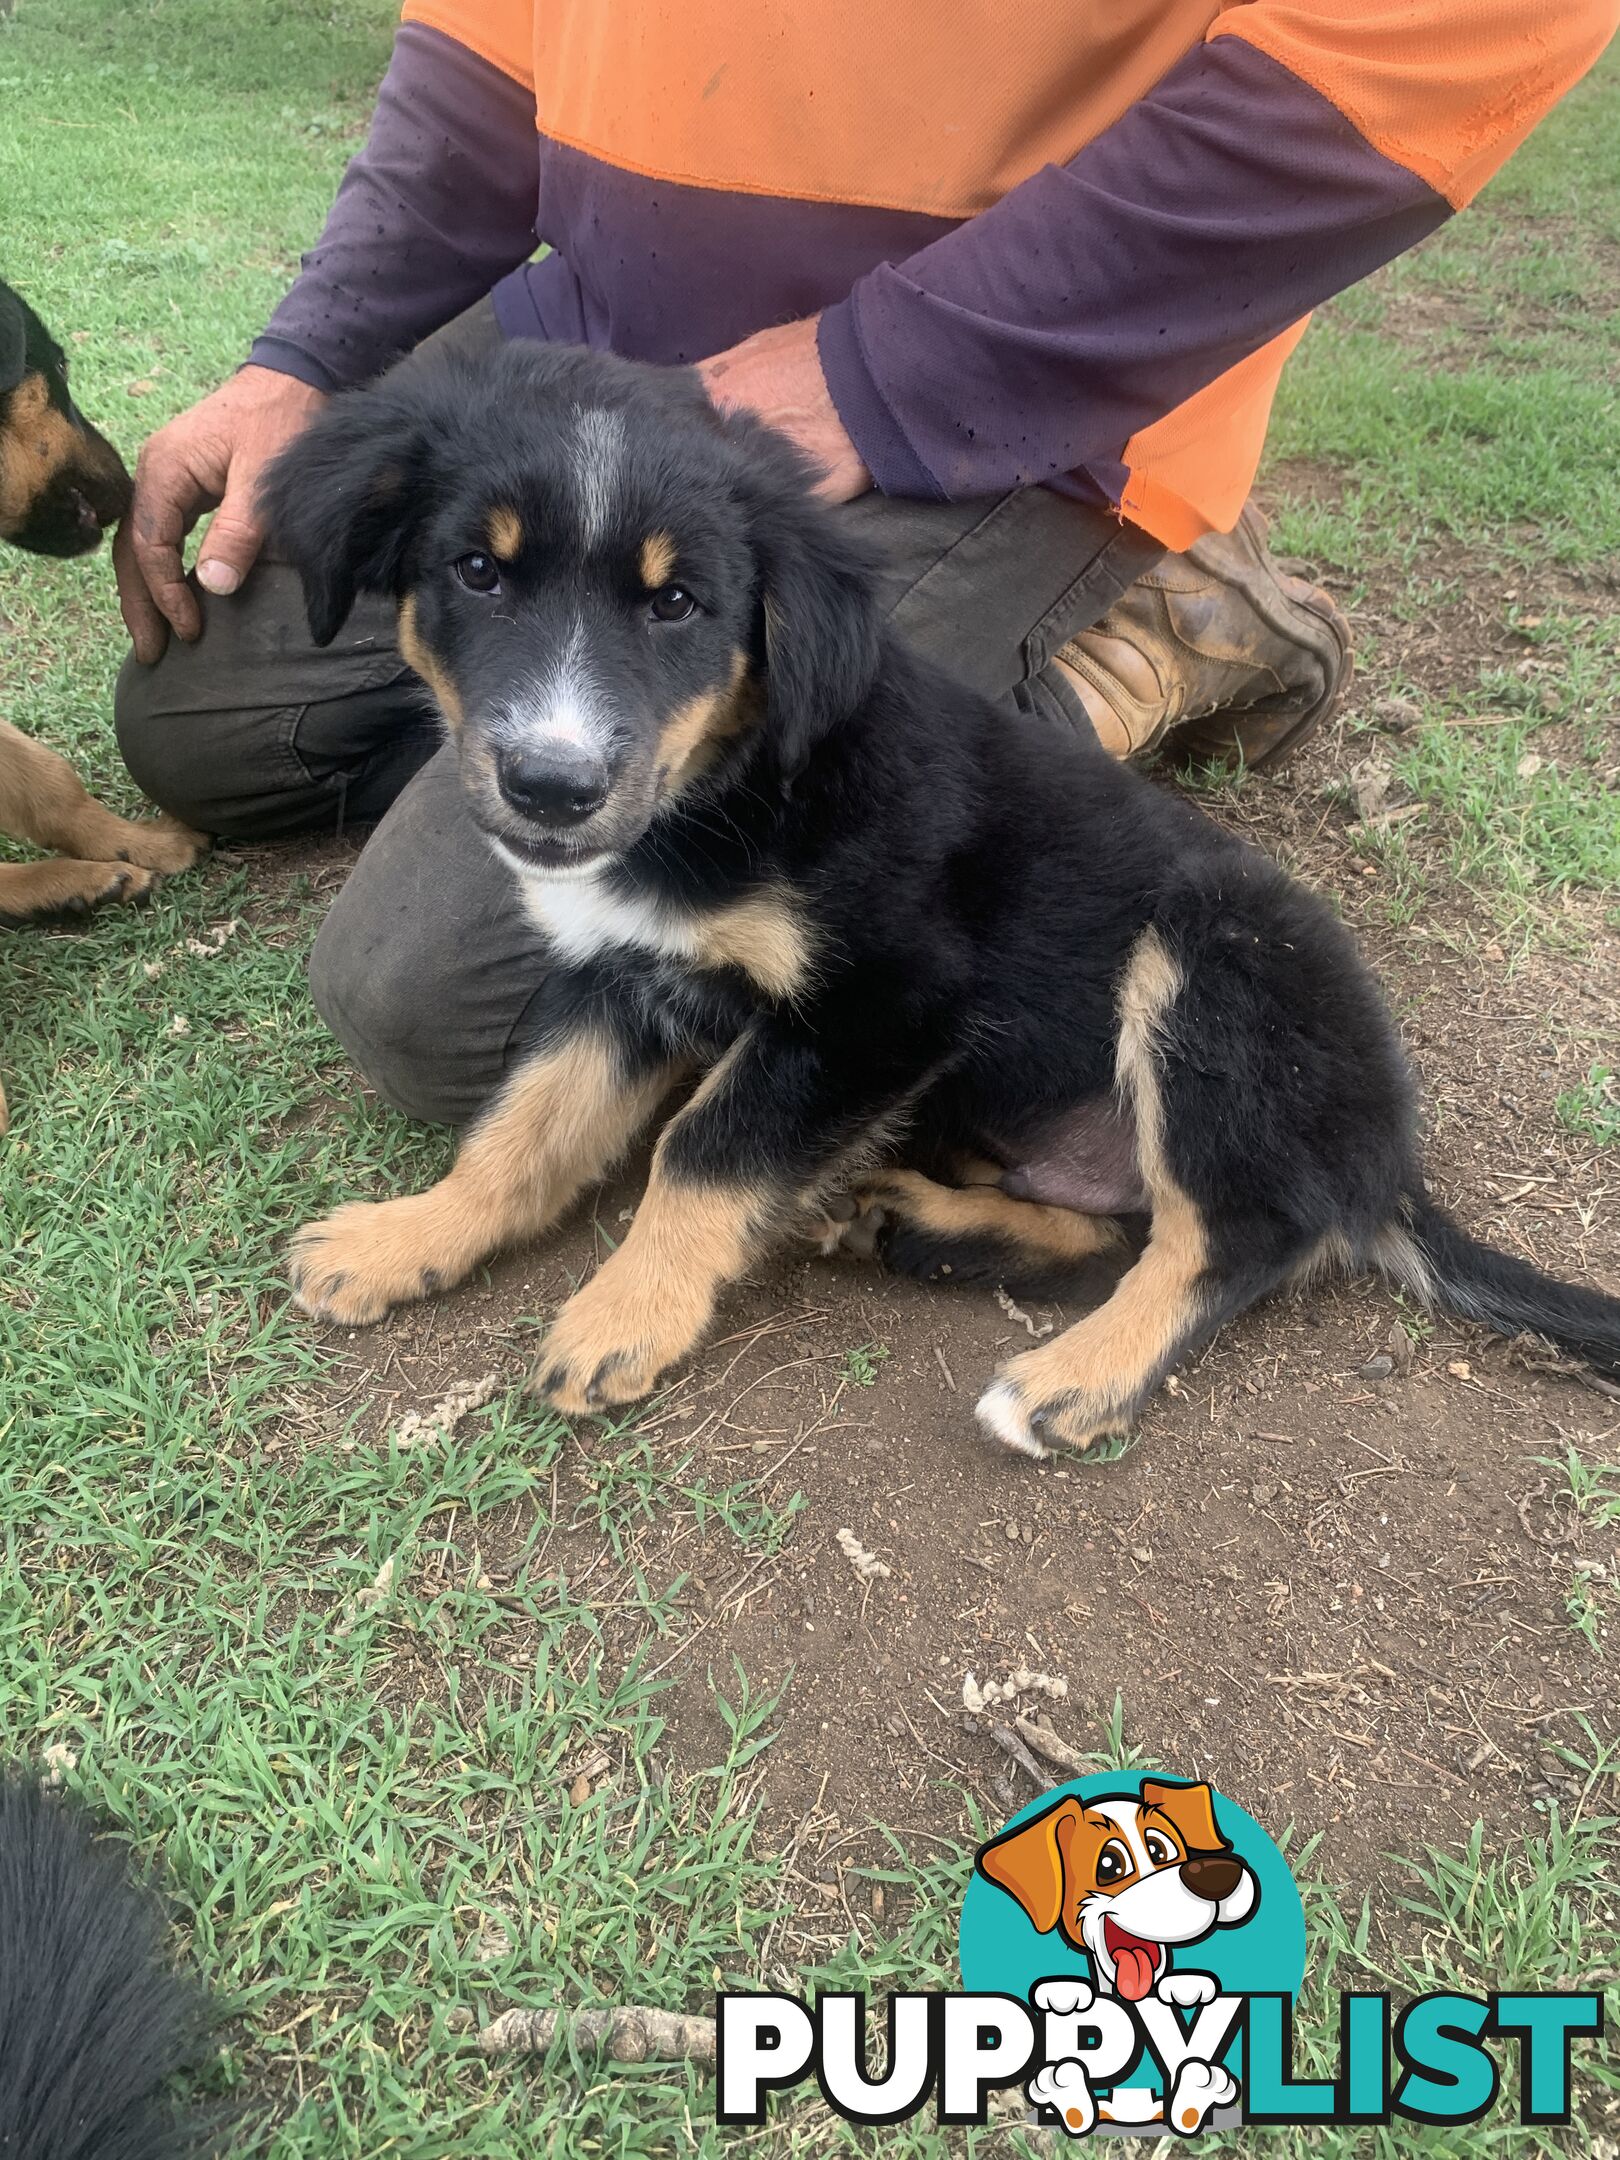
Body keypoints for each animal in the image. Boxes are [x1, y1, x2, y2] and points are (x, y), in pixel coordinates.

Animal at [260, 345, 1615, 1460]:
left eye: (676, 603)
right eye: (477, 574)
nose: (551, 788)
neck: (742, 782)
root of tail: (1386, 1160)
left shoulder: (882, 1003)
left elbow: (703, 1144)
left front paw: (625, 1313)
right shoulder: (619, 975)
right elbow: (521, 1129)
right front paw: (408, 1238)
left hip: (1214, 962)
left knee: (1229, 1237)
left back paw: (1071, 1381)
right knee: (1114, 1231)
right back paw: (911, 1220)